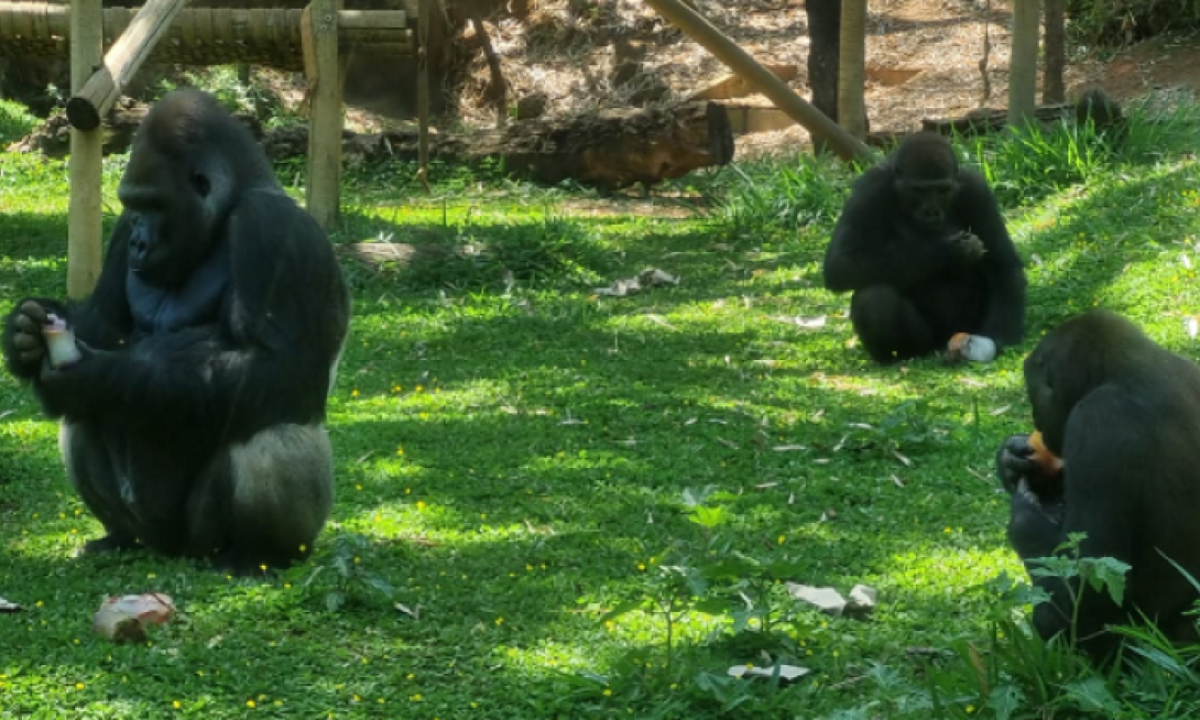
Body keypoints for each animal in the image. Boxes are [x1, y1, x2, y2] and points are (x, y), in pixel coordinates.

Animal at [2, 88, 350, 573]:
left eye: (156, 205)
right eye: (133, 205)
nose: (138, 242)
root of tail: (172, 550)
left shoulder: (273, 226)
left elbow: (281, 370)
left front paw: (98, 377)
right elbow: (102, 323)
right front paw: (25, 334)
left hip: (202, 538)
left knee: (275, 427)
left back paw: (257, 554)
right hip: (152, 531)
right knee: (80, 418)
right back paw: (120, 537)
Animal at [825, 132, 1032, 362]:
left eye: (942, 190)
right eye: (919, 190)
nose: (931, 212)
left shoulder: (977, 189)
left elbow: (1003, 266)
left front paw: (998, 338)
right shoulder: (869, 190)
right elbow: (842, 264)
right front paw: (951, 251)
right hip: (927, 343)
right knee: (874, 296)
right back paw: (899, 356)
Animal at [998, 309, 1200, 662]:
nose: (1036, 419)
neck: (1131, 368)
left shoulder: (1095, 423)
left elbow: (1090, 592)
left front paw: (1023, 518)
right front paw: (1012, 458)